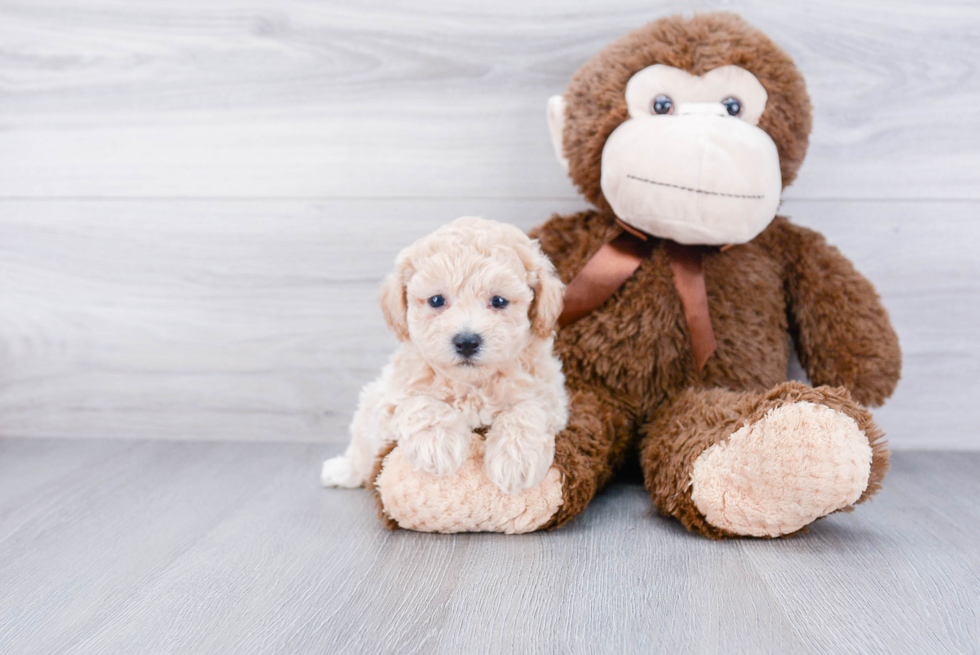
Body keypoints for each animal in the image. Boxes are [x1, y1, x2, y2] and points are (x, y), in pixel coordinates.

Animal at [320, 218, 568, 494]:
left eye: (499, 301)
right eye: (437, 300)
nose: (467, 342)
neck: (471, 385)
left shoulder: (551, 395)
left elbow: (529, 409)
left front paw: (517, 458)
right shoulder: (391, 397)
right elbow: (419, 402)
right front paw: (436, 444)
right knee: (361, 452)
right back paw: (341, 470)